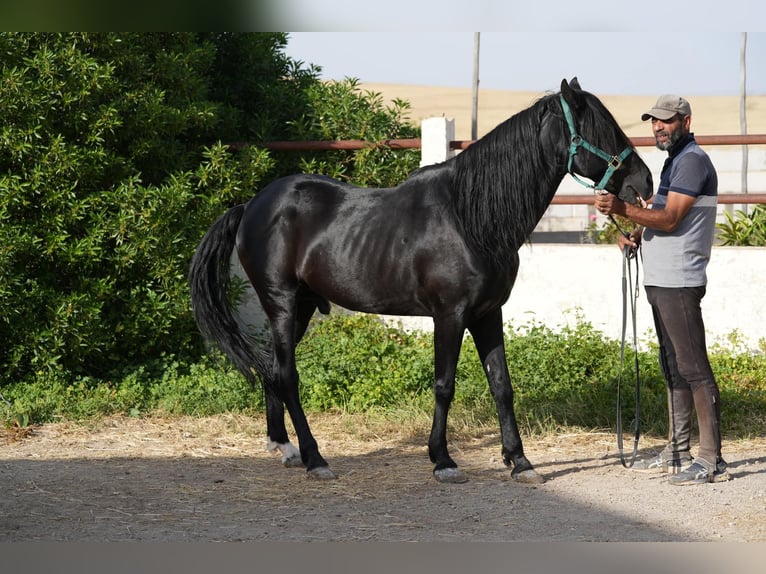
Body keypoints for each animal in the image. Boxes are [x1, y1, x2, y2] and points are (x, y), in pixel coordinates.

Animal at [188, 77, 653, 484]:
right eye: (601, 128)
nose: (644, 182)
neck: (470, 217)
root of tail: (251, 204)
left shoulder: (488, 314)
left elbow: (502, 386)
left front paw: (520, 462)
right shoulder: (450, 315)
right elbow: (444, 385)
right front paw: (443, 460)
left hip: (300, 307)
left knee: (273, 366)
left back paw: (284, 447)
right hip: (282, 303)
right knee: (287, 375)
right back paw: (315, 458)